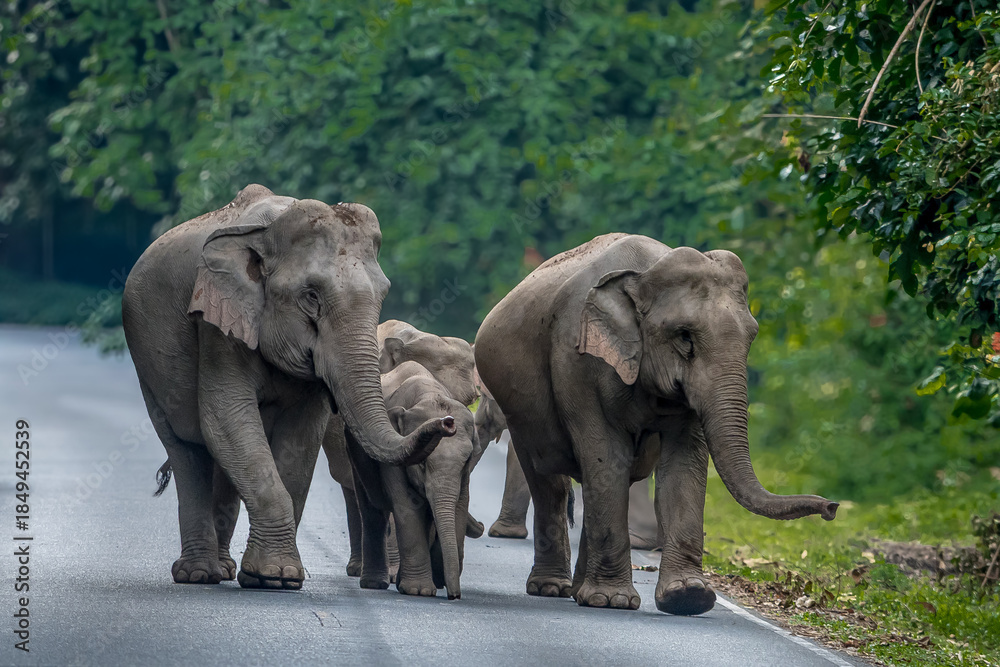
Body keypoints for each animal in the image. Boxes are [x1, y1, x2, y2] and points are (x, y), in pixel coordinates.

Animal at [122, 184, 454, 590]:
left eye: (383, 295)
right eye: (311, 296)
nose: (449, 422)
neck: (268, 234)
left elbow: (299, 439)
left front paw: (274, 578)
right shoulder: (218, 324)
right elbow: (226, 418)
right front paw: (275, 575)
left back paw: (223, 570)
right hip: (149, 367)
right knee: (187, 447)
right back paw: (199, 575)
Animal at [474, 233, 838, 615]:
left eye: (752, 335)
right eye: (684, 336)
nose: (832, 508)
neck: (644, 274)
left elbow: (683, 464)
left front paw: (688, 597)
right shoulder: (578, 364)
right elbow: (607, 457)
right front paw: (614, 601)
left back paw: (579, 591)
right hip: (521, 406)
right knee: (551, 481)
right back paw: (553, 588)